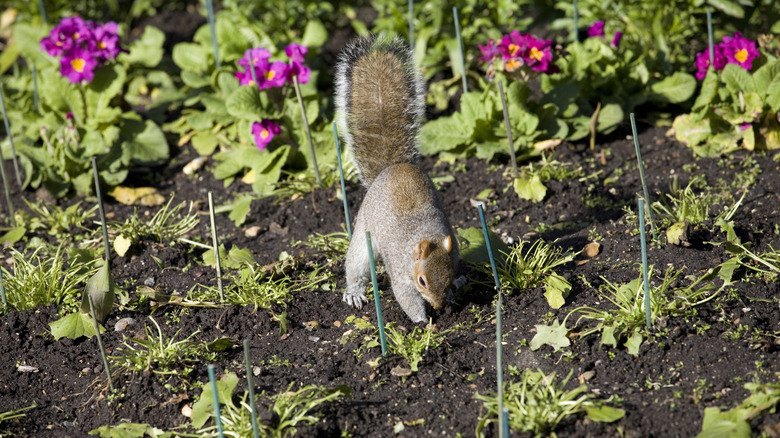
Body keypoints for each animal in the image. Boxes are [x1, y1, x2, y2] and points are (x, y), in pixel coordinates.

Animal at [334, 34, 460, 323]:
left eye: (449, 275)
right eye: (422, 281)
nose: (438, 306)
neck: (424, 235)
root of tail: (393, 167)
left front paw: (451, 296)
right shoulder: (400, 272)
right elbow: (405, 297)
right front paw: (422, 321)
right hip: (363, 237)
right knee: (356, 266)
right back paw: (354, 292)